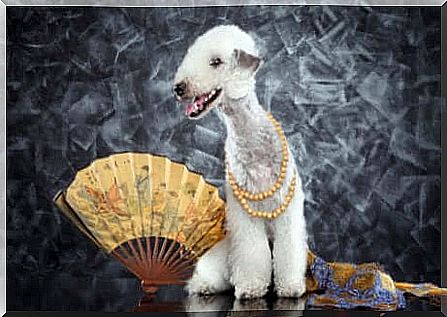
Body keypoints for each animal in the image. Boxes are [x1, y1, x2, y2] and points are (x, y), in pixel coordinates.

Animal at [174, 24, 308, 298]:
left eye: (216, 61)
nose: (179, 88)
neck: (250, 135)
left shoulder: (288, 212)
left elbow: (289, 249)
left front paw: (290, 286)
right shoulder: (244, 217)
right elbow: (251, 252)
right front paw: (251, 286)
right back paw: (203, 285)